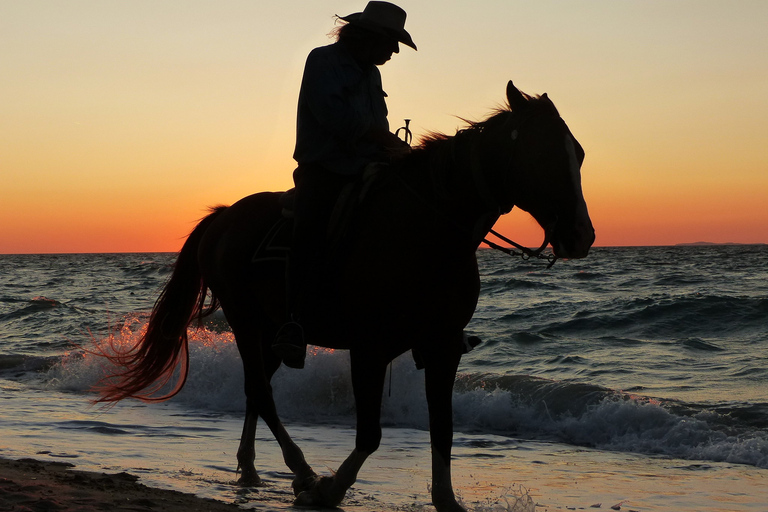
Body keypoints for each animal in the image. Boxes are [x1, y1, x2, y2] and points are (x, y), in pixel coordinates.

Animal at [97, 81, 592, 512]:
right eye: (543, 154)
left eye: (580, 153)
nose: (582, 236)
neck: (426, 230)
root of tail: (222, 217)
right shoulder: (369, 349)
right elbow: (370, 433)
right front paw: (330, 489)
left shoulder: (442, 346)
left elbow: (443, 428)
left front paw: (447, 500)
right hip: (244, 321)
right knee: (261, 391)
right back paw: (302, 472)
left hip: (273, 333)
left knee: (257, 390)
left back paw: (251, 469)